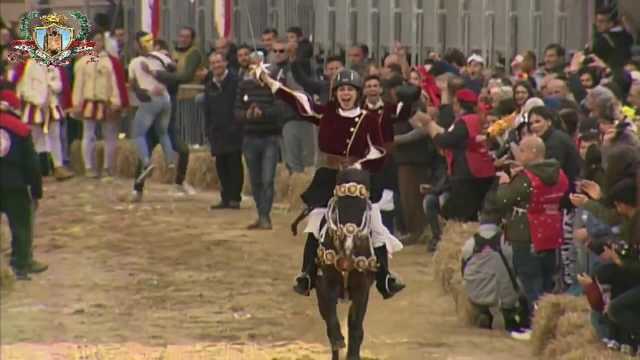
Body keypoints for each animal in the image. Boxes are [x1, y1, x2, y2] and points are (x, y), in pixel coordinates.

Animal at [314, 169, 378, 360]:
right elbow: (330, 316)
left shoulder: (362, 290)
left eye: (363, 207)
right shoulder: (325, 285)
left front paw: (353, 354)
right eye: (339, 206)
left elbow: (356, 326)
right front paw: (337, 339)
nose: (349, 246)